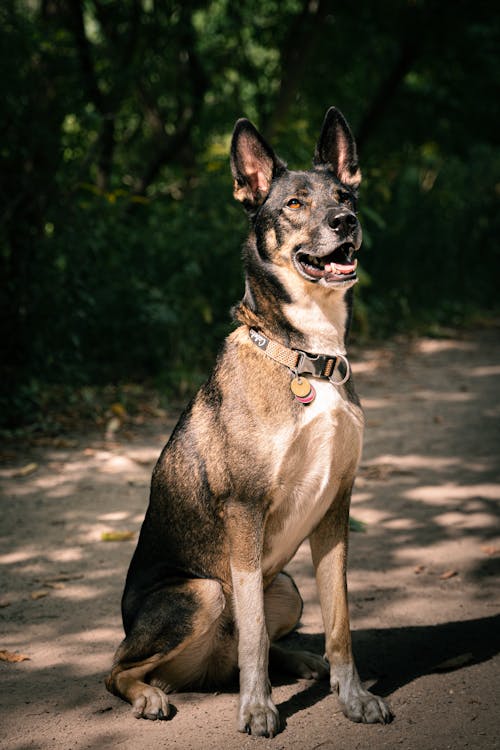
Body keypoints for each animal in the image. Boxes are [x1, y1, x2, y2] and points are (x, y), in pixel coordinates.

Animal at [107, 108, 392, 736]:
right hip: (202, 593)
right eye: (294, 204)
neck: (306, 355)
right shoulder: (245, 509)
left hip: (285, 585)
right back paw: (150, 696)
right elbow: (255, 635)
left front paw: (353, 697)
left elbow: (340, 624)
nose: (346, 222)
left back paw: (304, 662)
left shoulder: (336, 505)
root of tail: (206, 671)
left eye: (344, 195)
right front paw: (258, 708)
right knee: (117, 669)